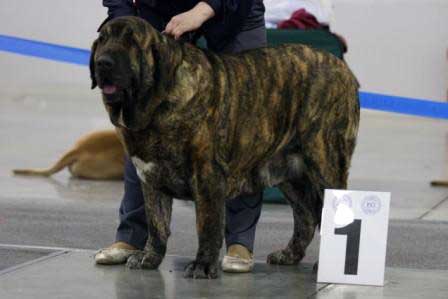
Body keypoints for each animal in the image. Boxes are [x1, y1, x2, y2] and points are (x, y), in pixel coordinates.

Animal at [90, 15, 360, 278]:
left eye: (132, 42)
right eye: (103, 40)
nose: (103, 62)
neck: (157, 102)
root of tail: (344, 69)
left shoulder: (207, 176)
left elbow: (207, 226)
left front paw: (203, 265)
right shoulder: (150, 177)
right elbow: (156, 224)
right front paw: (150, 257)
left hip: (325, 164)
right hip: (290, 175)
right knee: (307, 216)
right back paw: (288, 255)